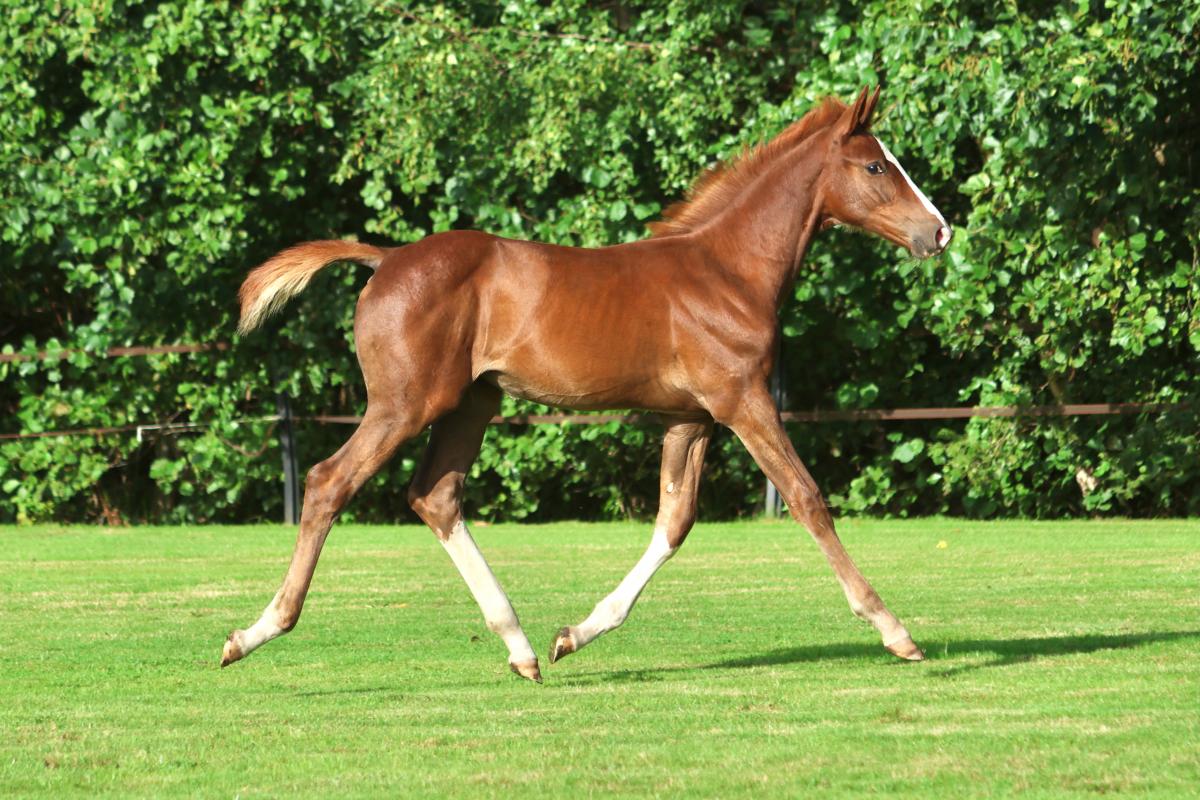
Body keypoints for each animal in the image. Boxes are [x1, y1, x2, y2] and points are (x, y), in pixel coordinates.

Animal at [221, 87, 952, 682]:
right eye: (876, 166)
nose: (939, 231)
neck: (726, 270)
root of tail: (386, 258)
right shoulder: (741, 401)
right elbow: (806, 497)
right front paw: (895, 631)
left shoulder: (690, 418)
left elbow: (675, 521)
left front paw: (575, 634)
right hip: (405, 403)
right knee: (329, 482)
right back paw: (254, 633)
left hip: (471, 402)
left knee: (435, 497)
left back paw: (520, 649)